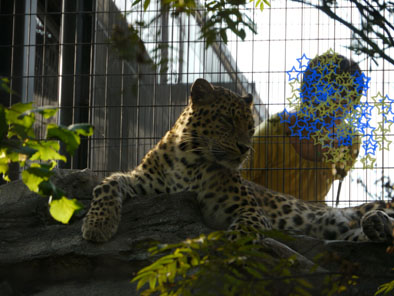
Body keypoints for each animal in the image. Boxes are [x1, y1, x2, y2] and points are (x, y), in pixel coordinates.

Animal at [80, 78, 394, 250]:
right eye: (227, 121)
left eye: (251, 128)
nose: (244, 148)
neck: (188, 160)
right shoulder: (147, 183)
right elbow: (106, 184)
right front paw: (98, 225)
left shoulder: (249, 211)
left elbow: (241, 233)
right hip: (341, 230)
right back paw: (376, 227)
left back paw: (378, 220)